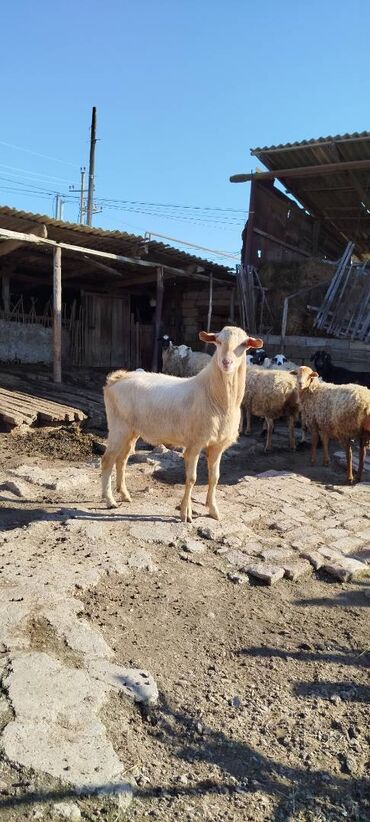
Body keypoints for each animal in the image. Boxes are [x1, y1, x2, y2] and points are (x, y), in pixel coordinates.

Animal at [101, 324, 264, 520]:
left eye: (244, 344)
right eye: (217, 341)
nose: (226, 362)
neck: (213, 396)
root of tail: (116, 379)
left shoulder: (218, 445)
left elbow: (214, 478)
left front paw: (213, 510)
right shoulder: (194, 443)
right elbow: (191, 478)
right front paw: (185, 513)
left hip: (132, 430)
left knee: (122, 459)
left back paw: (124, 494)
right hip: (118, 426)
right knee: (107, 459)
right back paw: (109, 500)